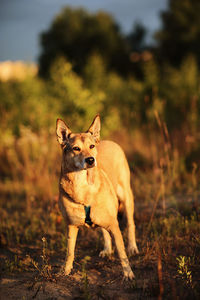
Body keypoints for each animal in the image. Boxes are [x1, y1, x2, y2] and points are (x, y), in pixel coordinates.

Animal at [55, 114, 138, 278]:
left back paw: (132, 247)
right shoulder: (71, 226)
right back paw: (107, 249)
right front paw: (65, 271)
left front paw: (128, 274)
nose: (90, 160)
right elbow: (70, 252)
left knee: (130, 224)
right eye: (76, 148)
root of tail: (108, 141)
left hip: (126, 198)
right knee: (103, 231)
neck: (82, 185)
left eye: (91, 147)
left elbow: (122, 252)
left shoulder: (114, 225)